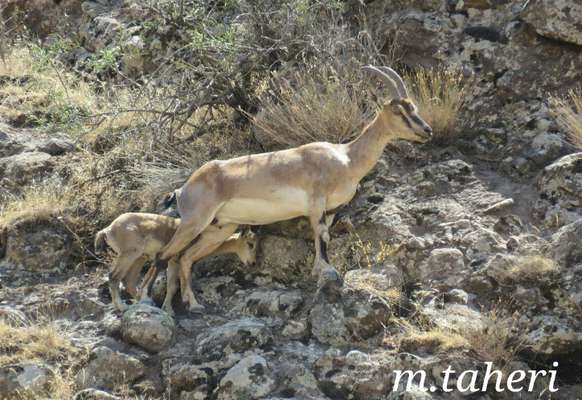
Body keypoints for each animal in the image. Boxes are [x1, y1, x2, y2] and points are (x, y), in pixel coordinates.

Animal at [160, 65, 434, 310]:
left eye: (414, 107)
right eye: (398, 110)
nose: (427, 131)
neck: (345, 157)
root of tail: (183, 190)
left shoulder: (331, 210)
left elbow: (321, 238)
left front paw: (318, 272)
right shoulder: (316, 205)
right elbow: (322, 236)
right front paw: (328, 272)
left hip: (219, 228)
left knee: (184, 258)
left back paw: (193, 304)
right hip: (194, 223)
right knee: (166, 256)